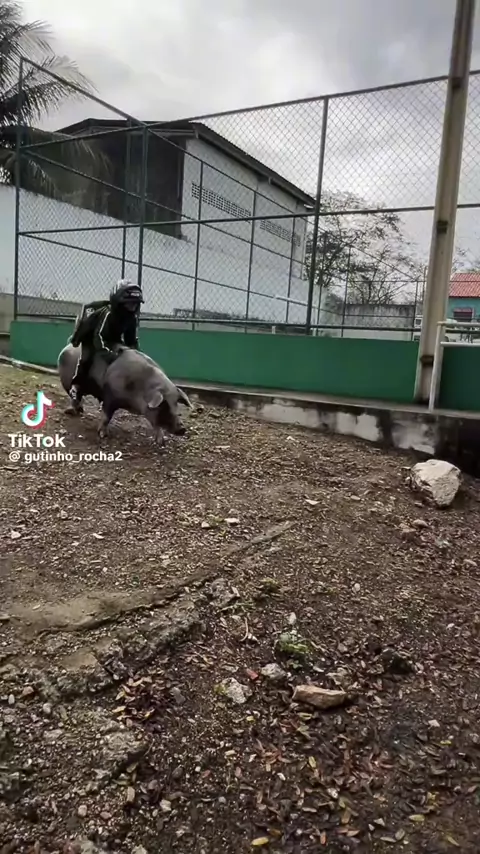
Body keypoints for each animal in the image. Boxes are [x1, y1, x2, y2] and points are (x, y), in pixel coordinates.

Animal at [57, 343, 192, 446]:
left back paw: (80, 410)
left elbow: (156, 425)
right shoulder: (110, 397)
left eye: (176, 405)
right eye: (164, 405)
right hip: (67, 381)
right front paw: (103, 435)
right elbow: (106, 416)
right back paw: (72, 411)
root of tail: (67, 347)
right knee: (74, 396)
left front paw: (161, 442)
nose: (182, 429)